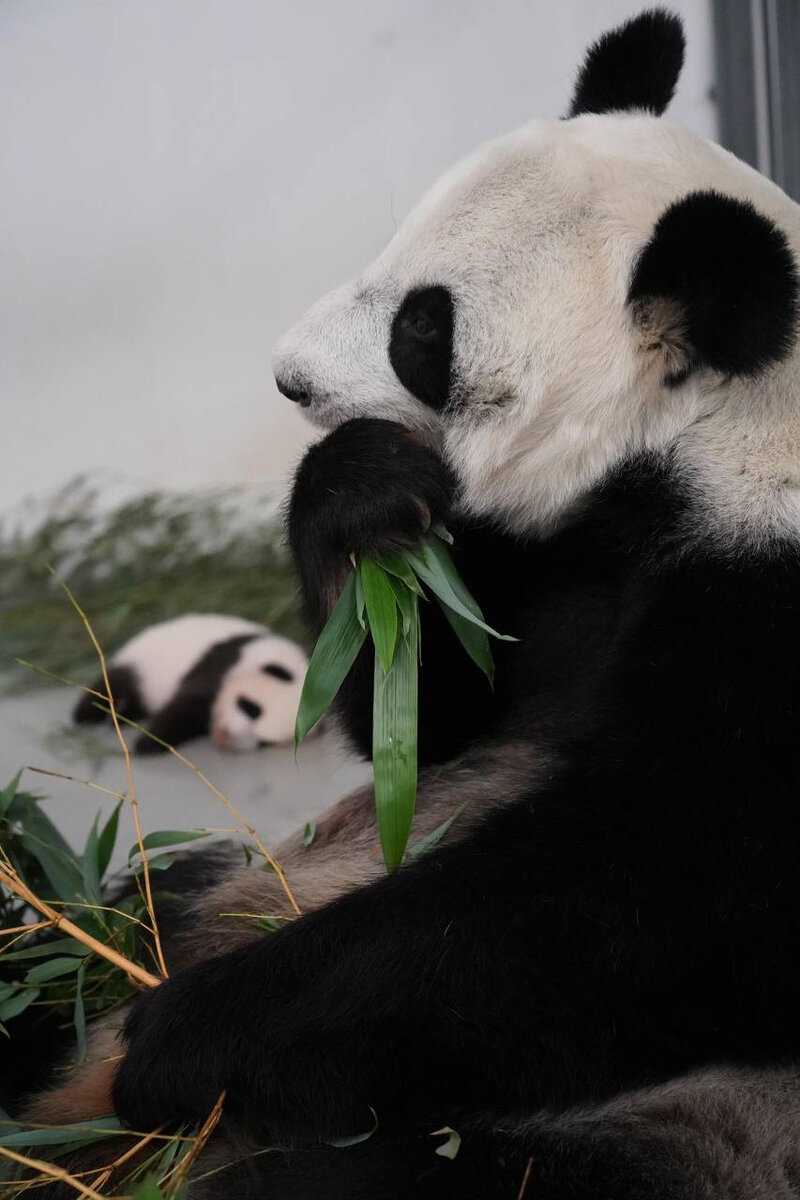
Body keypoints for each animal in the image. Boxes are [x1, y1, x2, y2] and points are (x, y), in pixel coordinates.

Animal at [18, 9, 800, 1200]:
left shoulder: (776, 596)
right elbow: (438, 717)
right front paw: (360, 490)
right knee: (136, 898)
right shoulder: (580, 550)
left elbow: (659, 892)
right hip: (220, 880)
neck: (723, 428)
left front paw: (186, 1039)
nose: (288, 380)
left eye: (425, 330)